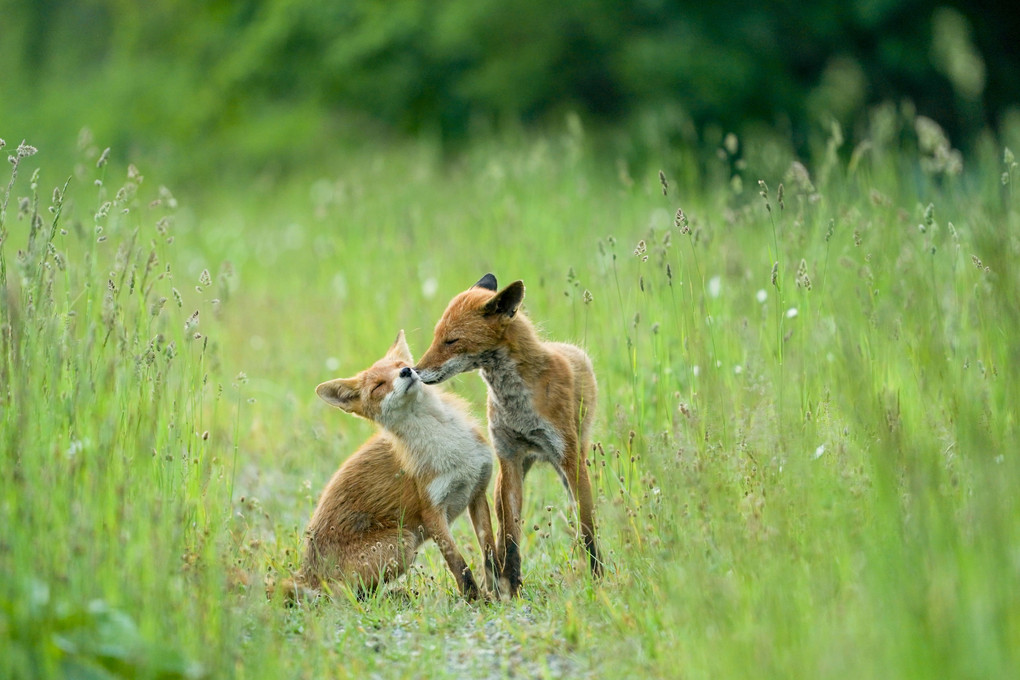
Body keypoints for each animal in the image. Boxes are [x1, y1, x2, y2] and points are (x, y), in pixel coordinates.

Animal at [297, 330, 499, 599]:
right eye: (378, 386)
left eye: (401, 365)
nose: (406, 372)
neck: (449, 445)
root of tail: (305, 574)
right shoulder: (432, 511)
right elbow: (459, 564)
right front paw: (474, 599)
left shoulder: (477, 491)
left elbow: (490, 552)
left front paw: (500, 591)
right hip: (402, 542)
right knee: (348, 595)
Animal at [414, 273, 599, 599]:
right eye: (437, 337)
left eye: (452, 341)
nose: (413, 370)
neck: (517, 406)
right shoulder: (509, 456)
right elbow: (511, 535)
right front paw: (512, 586)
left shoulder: (569, 458)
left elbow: (587, 525)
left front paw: (599, 577)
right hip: (506, 474)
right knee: (498, 528)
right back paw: (496, 577)